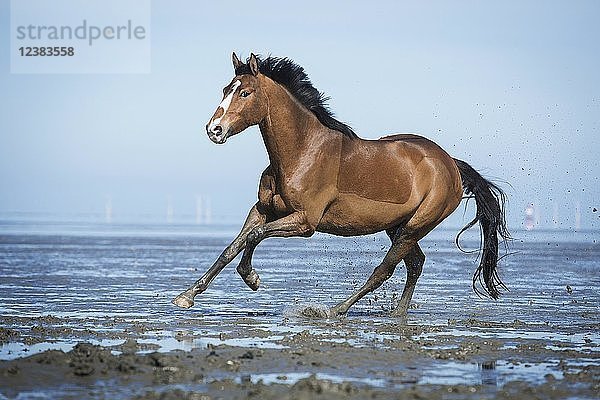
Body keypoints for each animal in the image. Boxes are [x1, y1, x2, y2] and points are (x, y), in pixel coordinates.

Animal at [171, 51, 508, 318]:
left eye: (245, 93)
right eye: (225, 89)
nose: (214, 129)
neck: (301, 151)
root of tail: (450, 164)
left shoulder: (305, 222)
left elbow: (254, 237)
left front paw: (251, 278)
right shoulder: (262, 210)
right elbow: (232, 247)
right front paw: (187, 296)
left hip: (415, 226)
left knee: (385, 269)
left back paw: (336, 310)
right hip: (398, 226)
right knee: (415, 263)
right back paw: (396, 313)